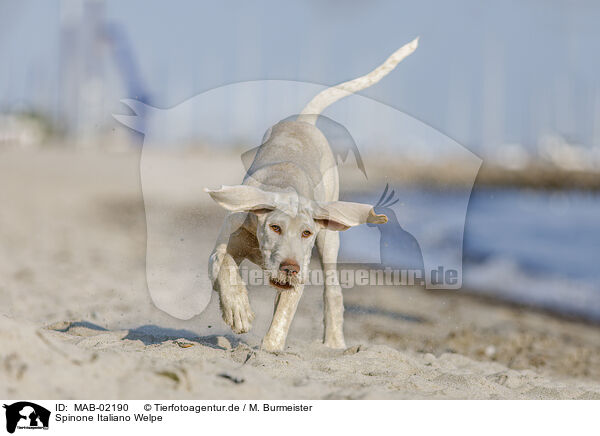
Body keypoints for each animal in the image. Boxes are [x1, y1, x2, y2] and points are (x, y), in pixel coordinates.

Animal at [205, 36, 418, 350]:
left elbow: (282, 318)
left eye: (306, 233)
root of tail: (304, 121)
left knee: (333, 291)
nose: (290, 268)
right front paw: (238, 310)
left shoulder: (301, 271)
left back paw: (334, 341)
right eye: (275, 227)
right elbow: (225, 266)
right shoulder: (225, 244)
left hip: (329, 239)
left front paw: (269, 348)